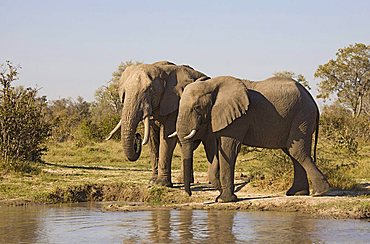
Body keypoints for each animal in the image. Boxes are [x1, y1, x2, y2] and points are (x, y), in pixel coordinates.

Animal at [172, 76, 330, 202]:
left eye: (197, 107)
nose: (189, 195)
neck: (211, 85)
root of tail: (313, 100)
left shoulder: (238, 119)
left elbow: (229, 150)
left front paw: (224, 200)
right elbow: (219, 151)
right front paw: (220, 197)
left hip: (302, 117)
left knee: (297, 151)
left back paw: (320, 193)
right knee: (292, 152)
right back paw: (297, 193)